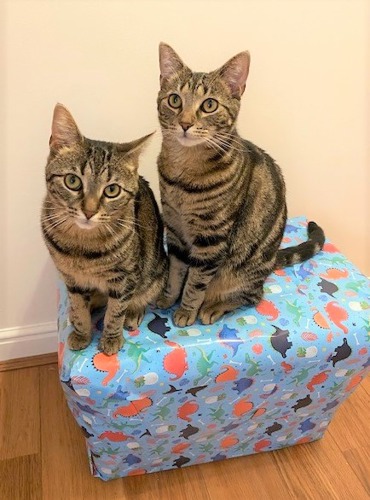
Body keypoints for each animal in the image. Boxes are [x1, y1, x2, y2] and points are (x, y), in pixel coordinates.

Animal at [41, 104, 168, 356]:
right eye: (72, 181)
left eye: (112, 190)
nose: (89, 211)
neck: (82, 244)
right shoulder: (72, 279)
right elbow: (78, 305)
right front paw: (81, 332)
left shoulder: (125, 278)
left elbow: (116, 310)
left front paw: (110, 338)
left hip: (153, 275)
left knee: (139, 297)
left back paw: (133, 313)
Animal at [156, 44, 324, 328]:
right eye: (175, 100)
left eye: (209, 105)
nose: (185, 123)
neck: (183, 172)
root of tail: (270, 261)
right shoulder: (175, 229)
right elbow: (176, 272)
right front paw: (169, 298)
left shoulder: (212, 238)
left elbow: (196, 282)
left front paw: (186, 310)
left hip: (242, 269)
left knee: (253, 295)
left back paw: (213, 307)